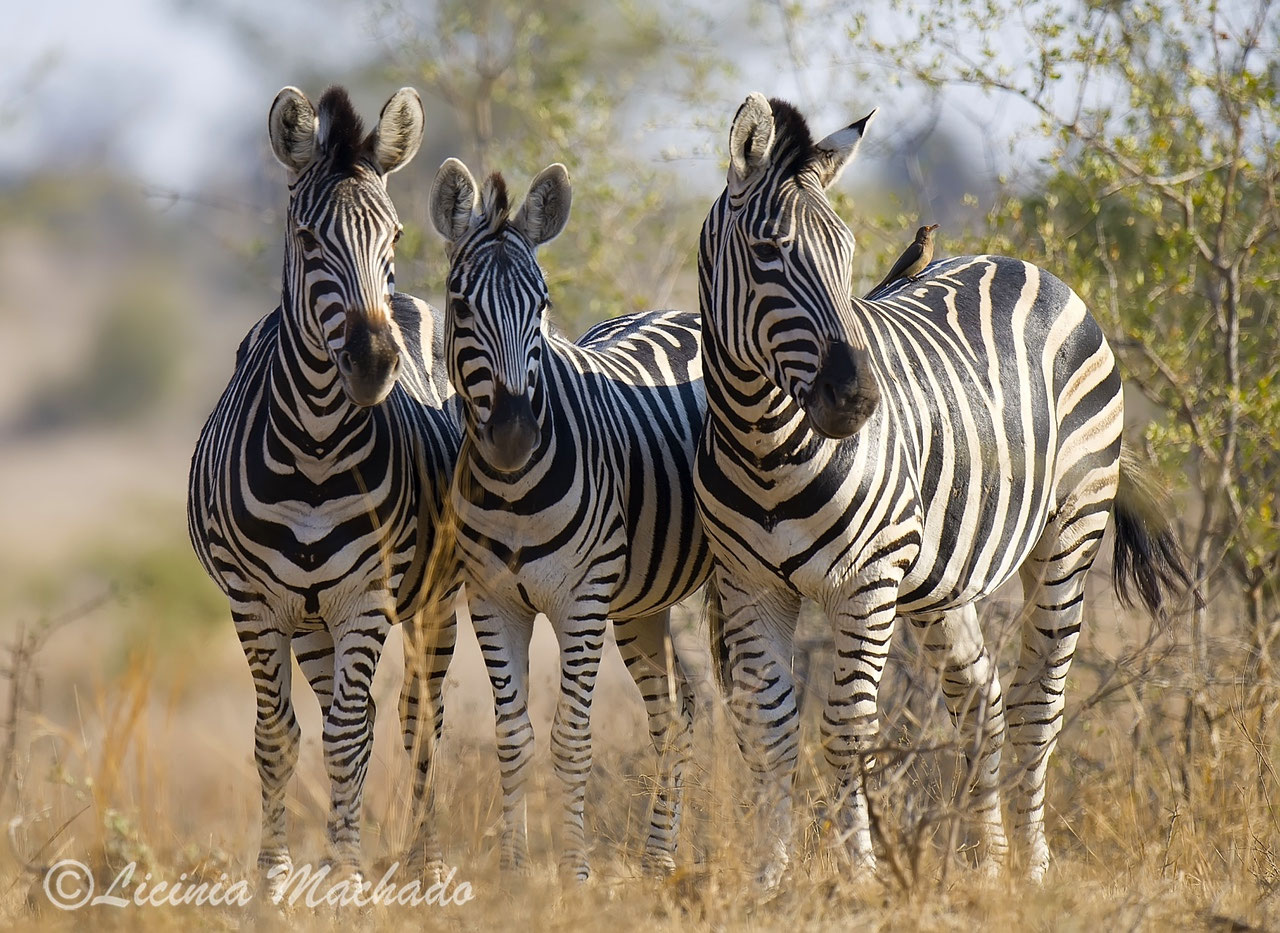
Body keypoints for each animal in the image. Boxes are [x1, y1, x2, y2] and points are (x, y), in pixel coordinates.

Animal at [187, 86, 461, 894]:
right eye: (309, 240)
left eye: (394, 236)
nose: (374, 363)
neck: (311, 450)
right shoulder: (252, 603)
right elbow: (278, 737)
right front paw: (272, 883)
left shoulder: (366, 597)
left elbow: (346, 736)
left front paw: (344, 878)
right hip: (309, 620)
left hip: (431, 595)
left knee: (417, 718)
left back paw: (426, 864)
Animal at [427, 158, 712, 880]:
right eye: (459, 303)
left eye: (542, 304)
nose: (513, 436)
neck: (513, 492)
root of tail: (678, 310)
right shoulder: (492, 600)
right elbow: (514, 736)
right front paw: (514, 872)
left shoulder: (580, 601)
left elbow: (572, 739)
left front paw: (577, 874)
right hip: (642, 604)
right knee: (669, 718)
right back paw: (657, 857)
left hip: (706, 590)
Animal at [694, 93, 1192, 885]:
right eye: (768, 252)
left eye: (846, 255)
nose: (860, 398)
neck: (766, 446)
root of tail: (1020, 263)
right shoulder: (749, 585)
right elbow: (770, 732)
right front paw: (769, 881)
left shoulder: (866, 582)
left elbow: (846, 731)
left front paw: (861, 877)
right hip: (939, 579)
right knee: (980, 695)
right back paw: (987, 863)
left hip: (1070, 531)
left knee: (1036, 702)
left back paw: (1032, 867)